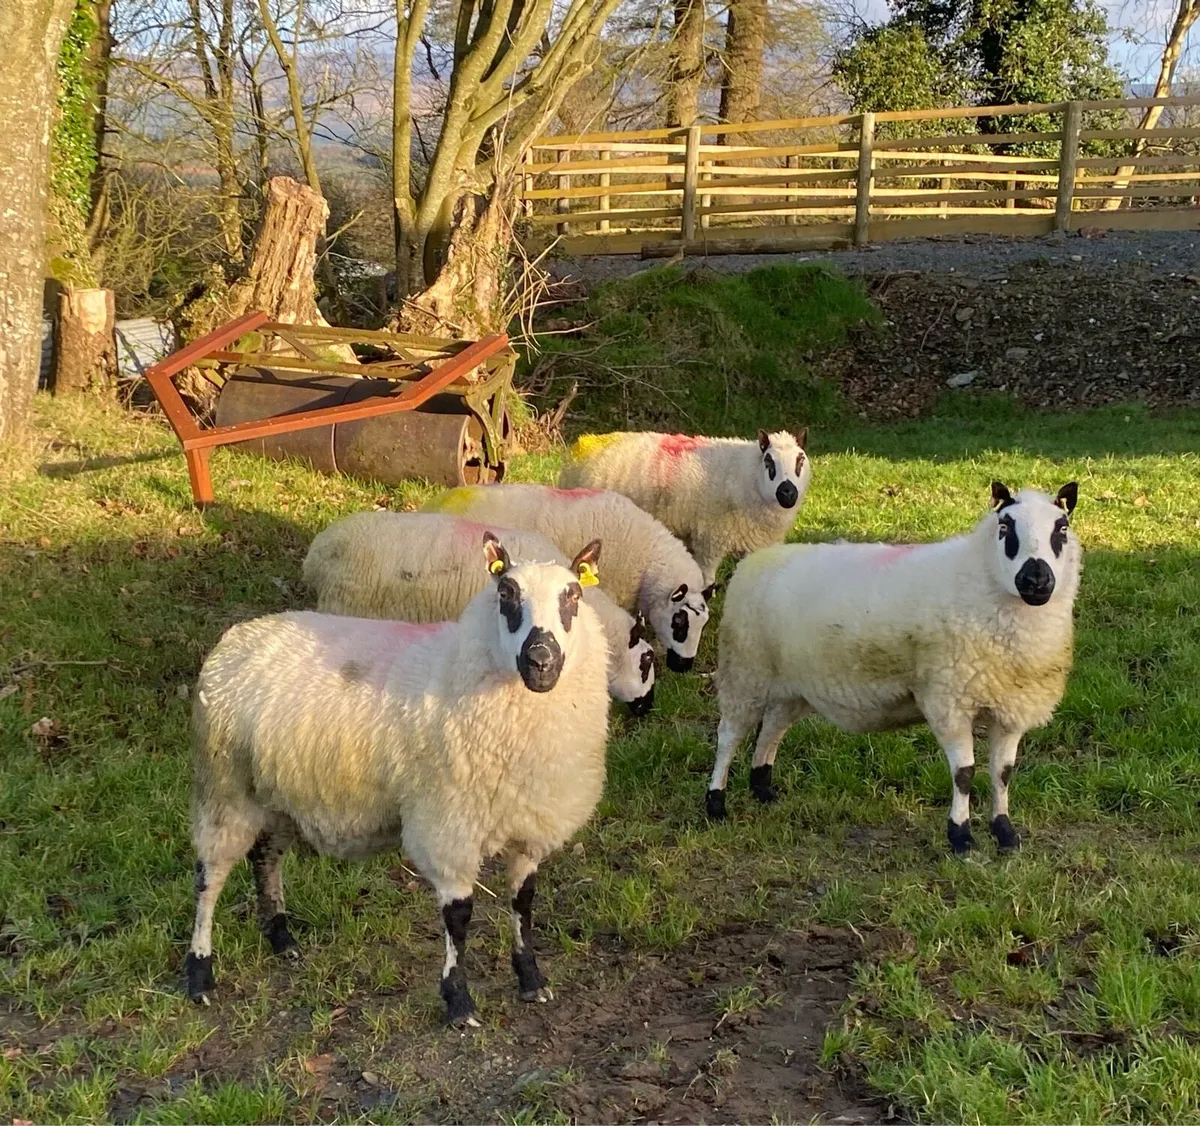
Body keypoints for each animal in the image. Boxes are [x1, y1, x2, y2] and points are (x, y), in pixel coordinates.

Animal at [185, 532, 610, 1027]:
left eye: (573, 596)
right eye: (506, 594)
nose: (541, 660)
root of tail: (238, 637)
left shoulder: (529, 825)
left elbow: (523, 904)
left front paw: (531, 980)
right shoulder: (447, 825)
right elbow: (459, 917)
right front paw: (458, 1002)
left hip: (276, 792)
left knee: (265, 858)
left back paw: (281, 939)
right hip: (224, 787)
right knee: (209, 878)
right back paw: (199, 975)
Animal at [559, 429, 812, 587]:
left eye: (800, 461)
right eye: (769, 462)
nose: (787, 493)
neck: (745, 475)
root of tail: (583, 442)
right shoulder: (711, 541)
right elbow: (707, 583)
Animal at [706, 481, 1082, 855]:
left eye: (1061, 528)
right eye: (1005, 527)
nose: (1035, 579)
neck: (978, 577)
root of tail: (754, 560)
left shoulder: (1010, 708)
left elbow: (1002, 773)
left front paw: (1005, 833)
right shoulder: (948, 702)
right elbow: (964, 774)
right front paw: (961, 838)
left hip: (790, 686)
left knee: (771, 730)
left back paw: (763, 790)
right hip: (745, 671)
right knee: (729, 736)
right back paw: (716, 804)